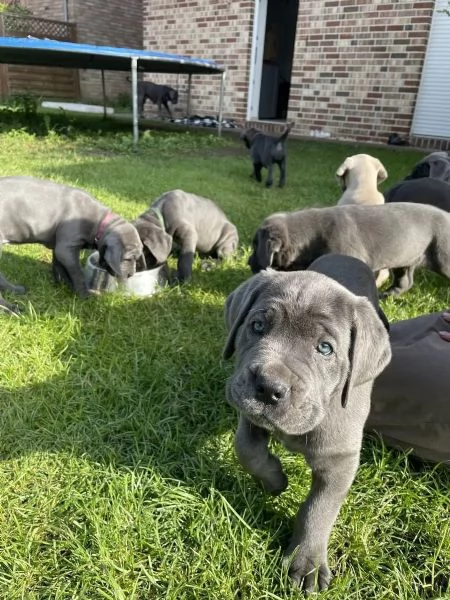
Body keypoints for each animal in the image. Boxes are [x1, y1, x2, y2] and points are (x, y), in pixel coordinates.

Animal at [0, 175, 142, 312]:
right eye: (128, 258)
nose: (131, 275)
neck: (99, 221)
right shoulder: (65, 249)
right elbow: (78, 273)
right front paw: (84, 295)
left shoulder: (60, 246)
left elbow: (60, 268)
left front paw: (64, 286)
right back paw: (10, 308)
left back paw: (15, 290)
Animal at [248, 204, 450, 298]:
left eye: (255, 246)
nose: (248, 262)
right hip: (406, 258)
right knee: (405, 281)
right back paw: (387, 295)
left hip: (443, 256)